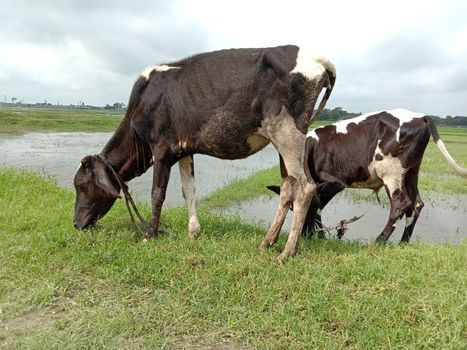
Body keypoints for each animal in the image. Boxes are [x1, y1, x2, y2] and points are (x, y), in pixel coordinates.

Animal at [72, 45, 336, 260]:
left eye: (80, 185)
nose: (76, 224)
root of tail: (312, 56)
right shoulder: (183, 150)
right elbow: (188, 191)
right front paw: (193, 232)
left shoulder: (161, 147)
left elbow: (157, 193)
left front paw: (150, 234)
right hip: (282, 139)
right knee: (287, 187)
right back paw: (266, 243)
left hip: (286, 132)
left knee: (304, 187)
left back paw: (287, 251)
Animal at [268, 109, 467, 243]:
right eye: (292, 207)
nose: (306, 235)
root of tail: (421, 116)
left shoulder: (335, 181)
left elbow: (320, 206)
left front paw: (320, 235)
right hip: (411, 171)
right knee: (417, 204)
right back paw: (403, 242)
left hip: (391, 172)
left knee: (401, 204)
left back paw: (380, 240)